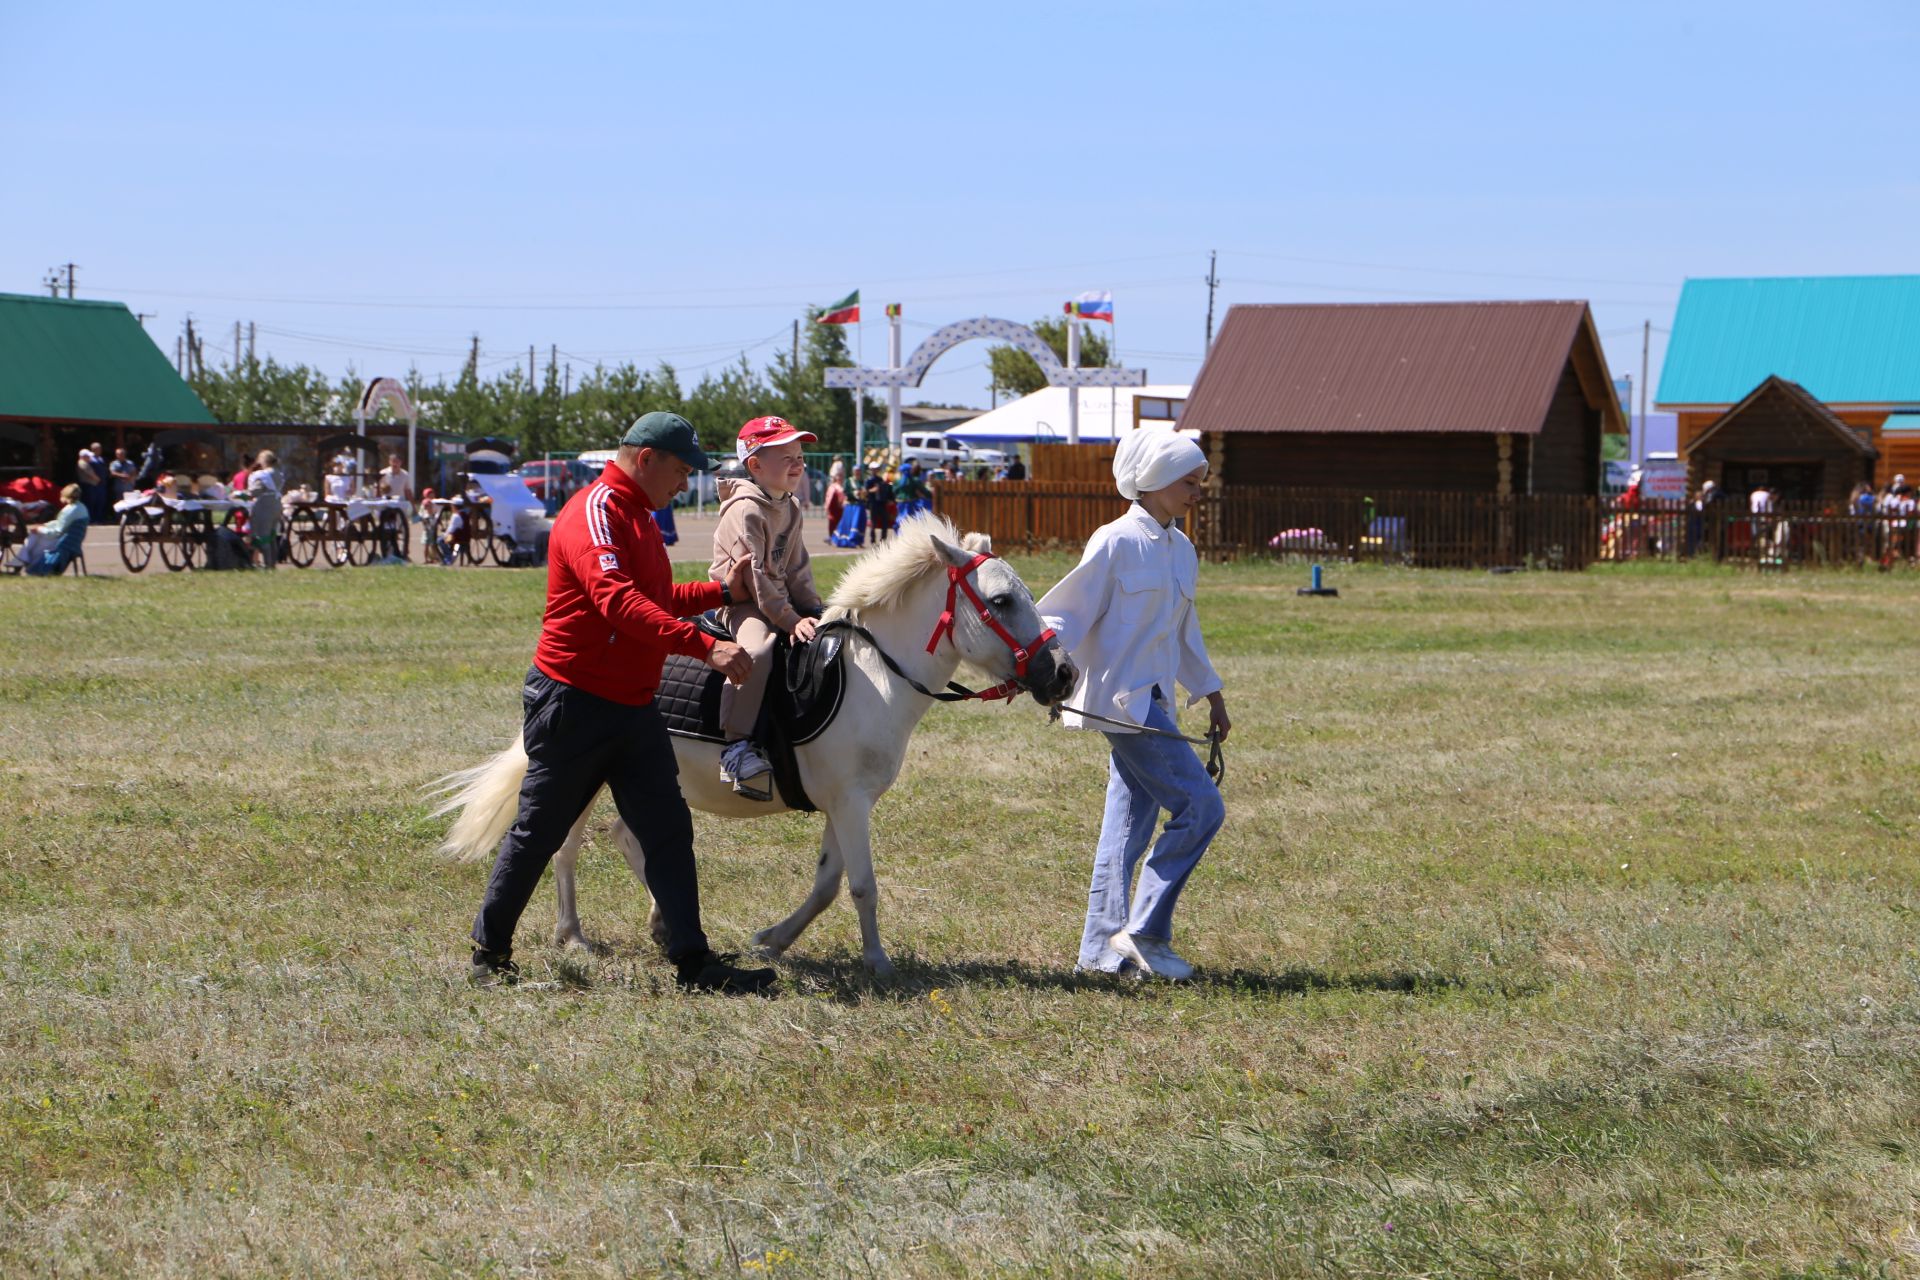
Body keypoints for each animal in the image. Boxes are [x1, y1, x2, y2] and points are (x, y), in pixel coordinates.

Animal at [432, 514, 1082, 974]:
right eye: (1001, 601)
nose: (1064, 673)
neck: (873, 674)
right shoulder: (850, 804)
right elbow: (862, 886)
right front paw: (877, 962)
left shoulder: (846, 803)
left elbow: (826, 885)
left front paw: (771, 942)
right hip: (587, 771)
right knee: (565, 848)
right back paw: (573, 937)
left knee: (626, 839)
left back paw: (661, 923)